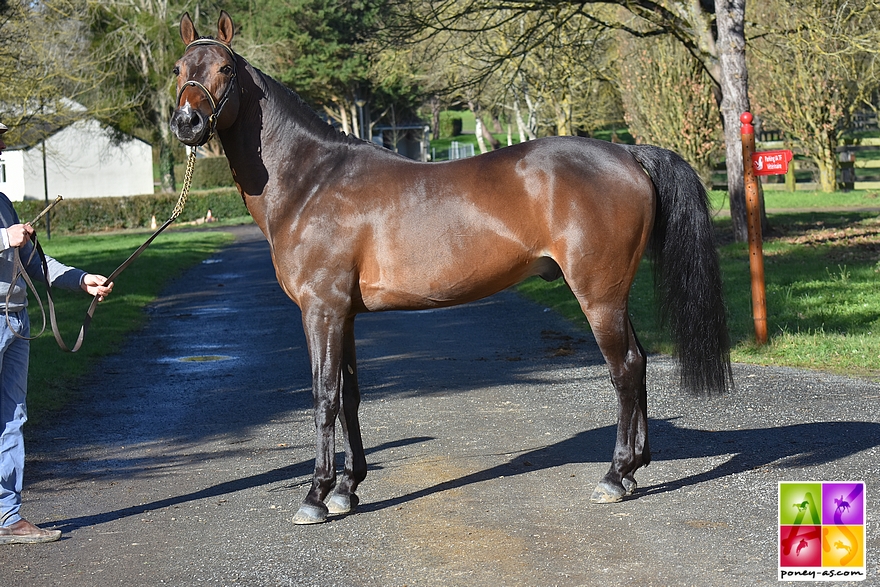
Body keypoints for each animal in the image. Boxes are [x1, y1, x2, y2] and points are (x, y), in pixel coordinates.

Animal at [170, 11, 732, 525]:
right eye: (179, 68)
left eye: (225, 68)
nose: (186, 123)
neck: (312, 181)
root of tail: (627, 153)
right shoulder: (343, 315)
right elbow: (350, 396)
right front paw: (348, 489)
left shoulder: (321, 310)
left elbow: (324, 395)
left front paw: (316, 494)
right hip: (614, 295)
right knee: (638, 363)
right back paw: (635, 468)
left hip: (598, 296)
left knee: (625, 368)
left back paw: (615, 476)